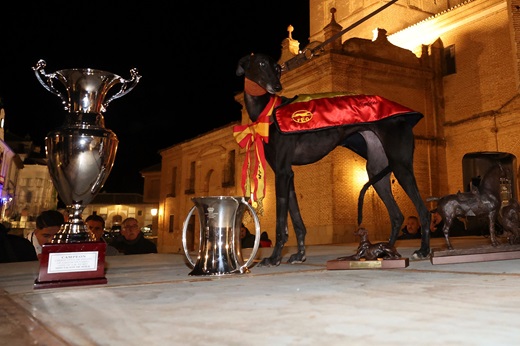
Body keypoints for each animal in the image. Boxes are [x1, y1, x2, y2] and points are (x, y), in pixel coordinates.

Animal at [236, 53, 430, 264]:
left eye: (277, 68)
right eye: (262, 64)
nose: (277, 86)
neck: (269, 112)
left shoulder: (282, 172)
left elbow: (281, 224)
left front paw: (273, 258)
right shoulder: (288, 174)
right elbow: (297, 221)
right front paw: (299, 255)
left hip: (400, 166)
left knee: (423, 211)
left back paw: (423, 250)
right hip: (377, 171)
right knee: (396, 215)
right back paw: (385, 251)